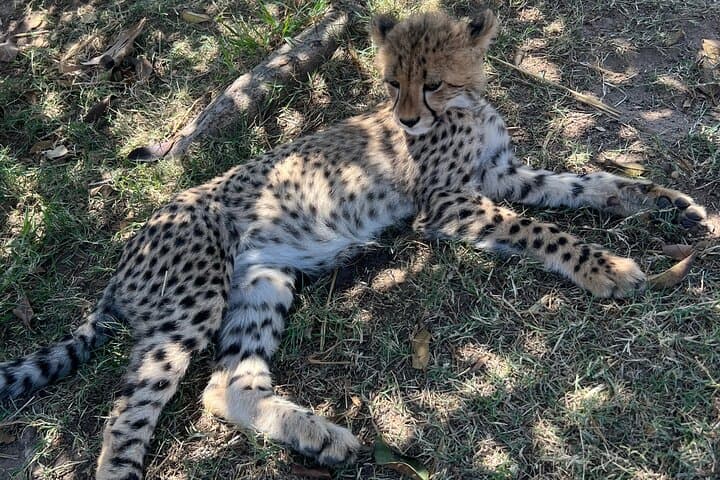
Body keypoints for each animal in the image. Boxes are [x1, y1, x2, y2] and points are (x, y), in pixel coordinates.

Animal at [0, 10, 708, 479]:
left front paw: (668, 205)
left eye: (433, 80)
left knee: (225, 386)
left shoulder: (502, 177)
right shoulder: (447, 203)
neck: (466, 105)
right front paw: (605, 267)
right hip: (193, 300)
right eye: (393, 81)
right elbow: (541, 228)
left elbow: (592, 184)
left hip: (262, 281)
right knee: (127, 415)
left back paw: (322, 438)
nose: (406, 118)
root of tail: (125, 258)